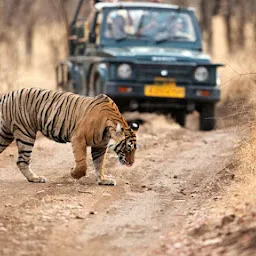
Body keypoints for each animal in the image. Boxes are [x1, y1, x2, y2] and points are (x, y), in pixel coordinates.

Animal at [0, 87, 139, 185]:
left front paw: (103, 180)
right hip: (25, 133)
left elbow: (99, 163)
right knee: (22, 160)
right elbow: (82, 163)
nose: (132, 163)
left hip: (5, 134)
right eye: (128, 149)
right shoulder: (78, 138)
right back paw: (35, 178)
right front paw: (73, 173)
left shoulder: (100, 146)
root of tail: (8, 94)